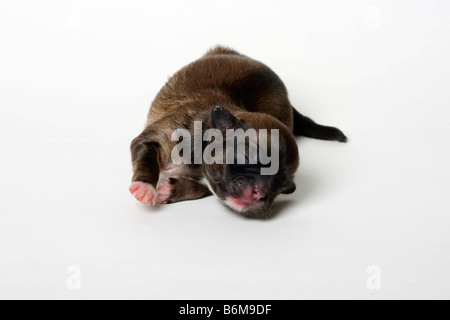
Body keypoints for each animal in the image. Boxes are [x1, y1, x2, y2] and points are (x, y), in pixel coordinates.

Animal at [130, 47, 348, 218]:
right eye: (248, 157)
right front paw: (145, 187)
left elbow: (203, 188)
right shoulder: (162, 136)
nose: (261, 194)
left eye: (282, 188)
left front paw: (173, 189)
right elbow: (146, 155)